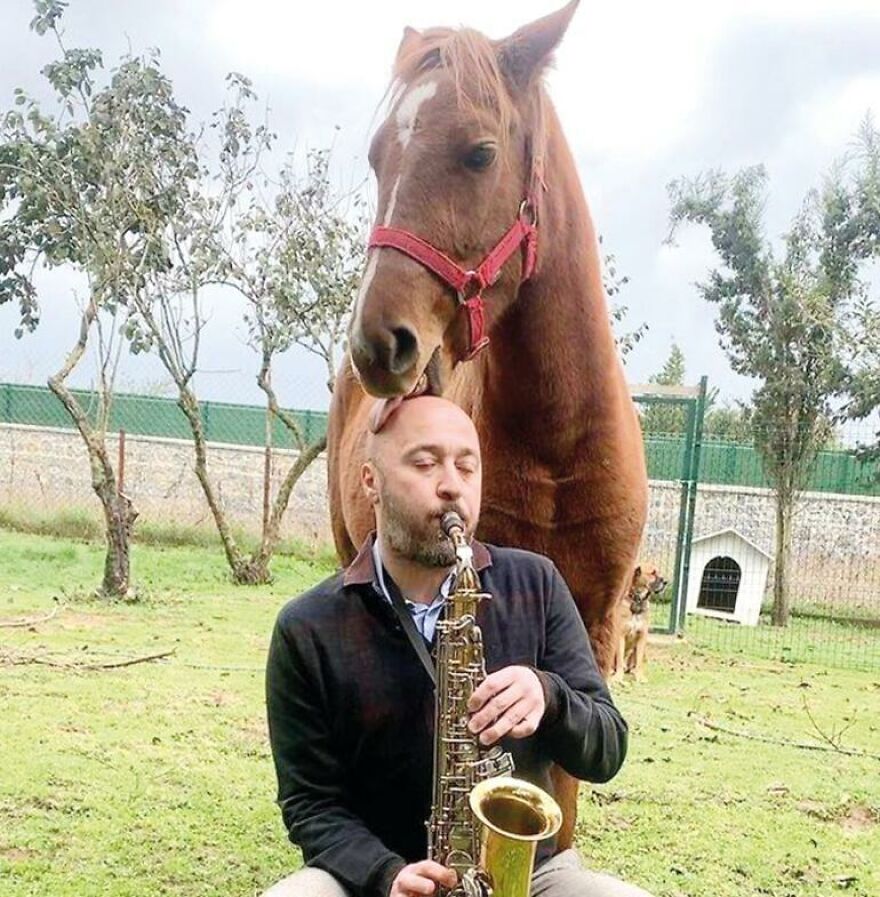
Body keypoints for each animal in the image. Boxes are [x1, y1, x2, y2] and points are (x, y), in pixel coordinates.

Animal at [327, 1, 648, 850]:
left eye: (479, 153)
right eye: (377, 158)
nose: (378, 343)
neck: (560, 438)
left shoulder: (597, 627)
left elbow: (563, 791)